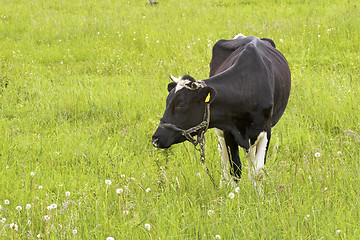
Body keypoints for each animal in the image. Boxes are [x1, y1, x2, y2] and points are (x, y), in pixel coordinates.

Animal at [151, 33, 290, 184]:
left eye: (180, 104)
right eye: (167, 102)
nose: (155, 139)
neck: (247, 86)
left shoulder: (265, 130)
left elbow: (258, 172)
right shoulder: (229, 130)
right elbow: (235, 170)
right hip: (221, 132)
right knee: (224, 157)